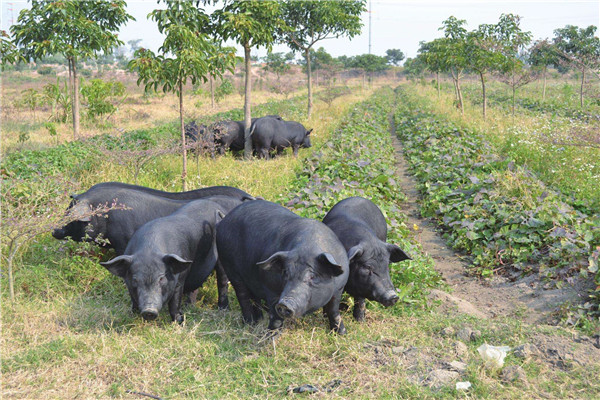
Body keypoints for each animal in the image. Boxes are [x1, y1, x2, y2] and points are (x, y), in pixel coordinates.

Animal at [217, 200, 350, 334]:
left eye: (312, 276)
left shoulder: (339, 288)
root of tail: (225, 219)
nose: (285, 304)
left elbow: (333, 311)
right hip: (229, 266)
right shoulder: (270, 287)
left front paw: (341, 333)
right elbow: (275, 318)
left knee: (254, 298)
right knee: (243, 296)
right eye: (286, 273)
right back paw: (250, 324)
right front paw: (270, 337)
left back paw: (259, 320)